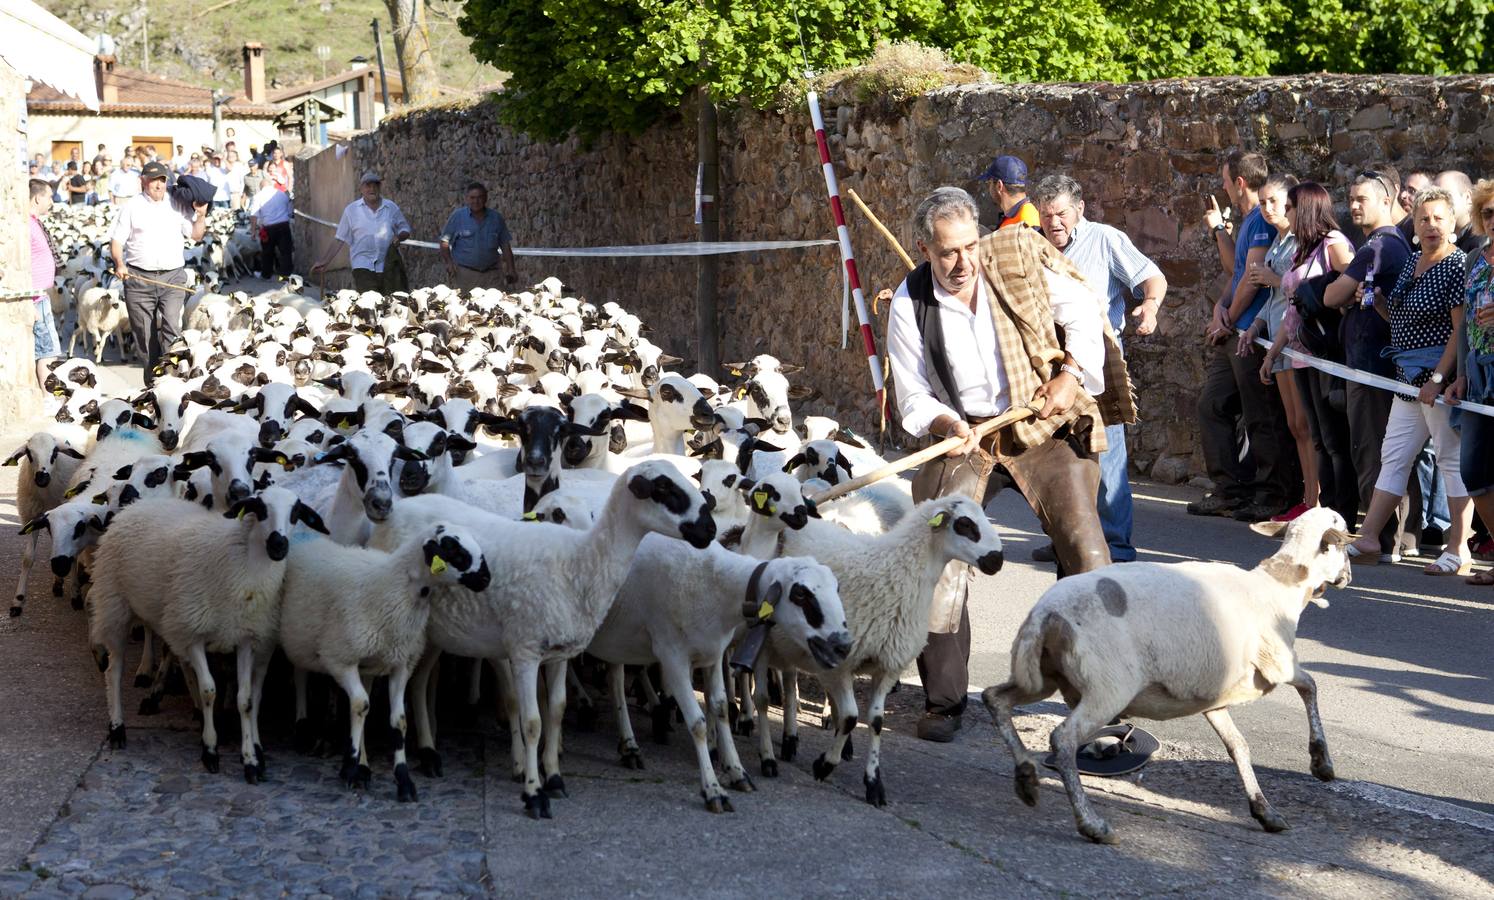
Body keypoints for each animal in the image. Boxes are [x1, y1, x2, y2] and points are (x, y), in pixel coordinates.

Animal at [88, 484, 328, 777]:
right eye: (259, 508)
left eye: (296, 512)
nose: (278, 545)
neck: (242, 566)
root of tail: (135, 506)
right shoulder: (194, 634)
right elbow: (209, 691)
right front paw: (211, 750)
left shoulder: (245, 638)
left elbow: (246, 699)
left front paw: (250, 760)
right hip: (115, 603)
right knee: (114, 671)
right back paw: (117, 728)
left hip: (169, 618)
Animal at [279, 517, 490, 801]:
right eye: (454, 550)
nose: (487, 578)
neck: (393, 587)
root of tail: (306, 537)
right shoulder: (342, 658)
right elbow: (360, 705)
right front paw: (354, 767)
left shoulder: (400, 663)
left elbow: (398, 721)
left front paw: (403, 781)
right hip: (302, 637)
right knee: (300, 675)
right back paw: (304, 729)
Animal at [364, 460, 708, 819]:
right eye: (664, 488)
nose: (709, 529)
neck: (581, 561)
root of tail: (399, 510)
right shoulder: (525, 651)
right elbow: (531, 722)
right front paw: (533, 793)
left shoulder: (558, 653)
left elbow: (556, 711)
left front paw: (554, 779)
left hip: (433, 632)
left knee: (418, 684)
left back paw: (429, 754)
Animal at [764, 493, 1009, 801]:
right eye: (965, 524)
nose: (997, 560)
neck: (895, 573)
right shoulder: (842, 663)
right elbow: (850, 718)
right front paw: (824, 765)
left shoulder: (888, 666)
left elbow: (876, 721)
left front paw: (873, 781)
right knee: (790, 681)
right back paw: (790, 736)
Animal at [980, 508, 1356, 843]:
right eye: (1342, 541)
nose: (1348, 577)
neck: (1282, 585)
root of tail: (1044, 615)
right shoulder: (1278, 662)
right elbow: (1310, 686)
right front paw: (1322, 764)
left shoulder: (1213, 698)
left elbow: (1238, 746)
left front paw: (1265, 811)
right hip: (1107, 687)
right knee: (1062, 739)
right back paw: (1092, 824)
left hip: (1044, 675)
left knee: (995, 698)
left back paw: (1026, 778)